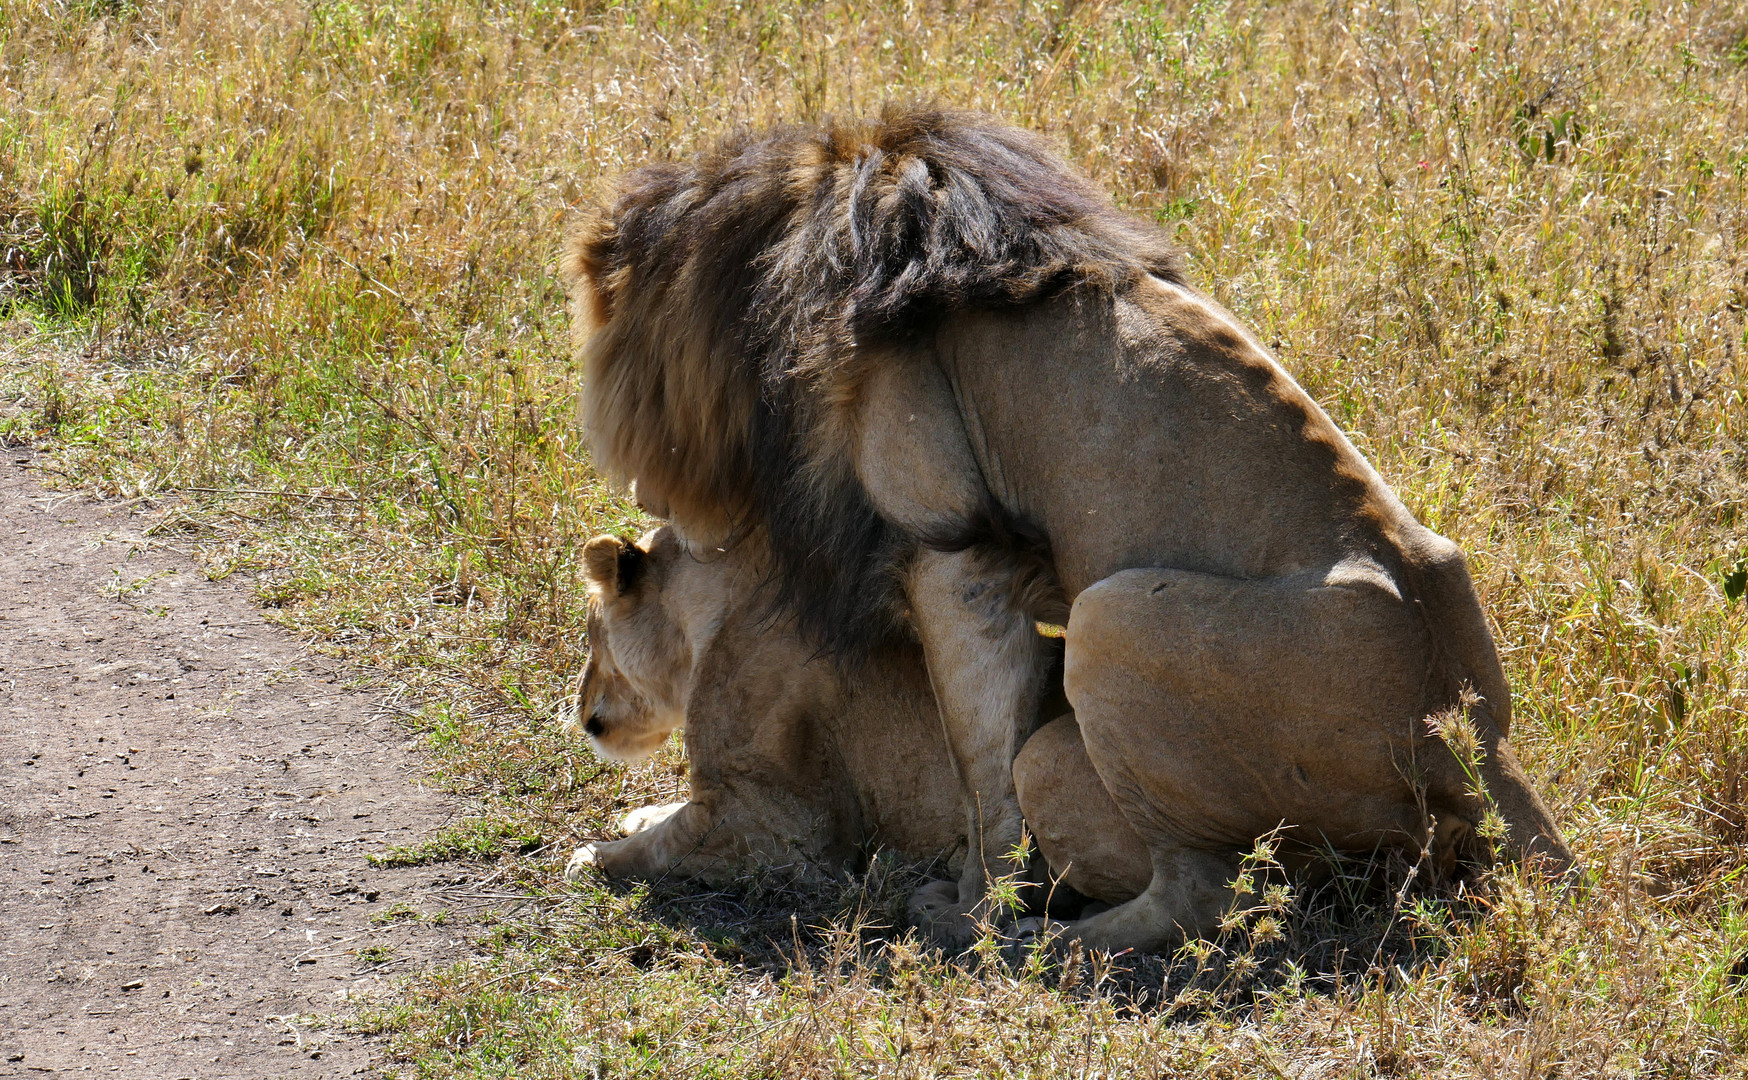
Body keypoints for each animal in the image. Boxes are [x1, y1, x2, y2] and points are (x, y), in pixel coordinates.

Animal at [566, 109, 1580, 943]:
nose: (586, 720)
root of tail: (1479, 745)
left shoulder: (952, 550)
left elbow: (978, 762)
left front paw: (974, 911)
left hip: (1116, 616)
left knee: (1201, 892)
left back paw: (1052, 943)